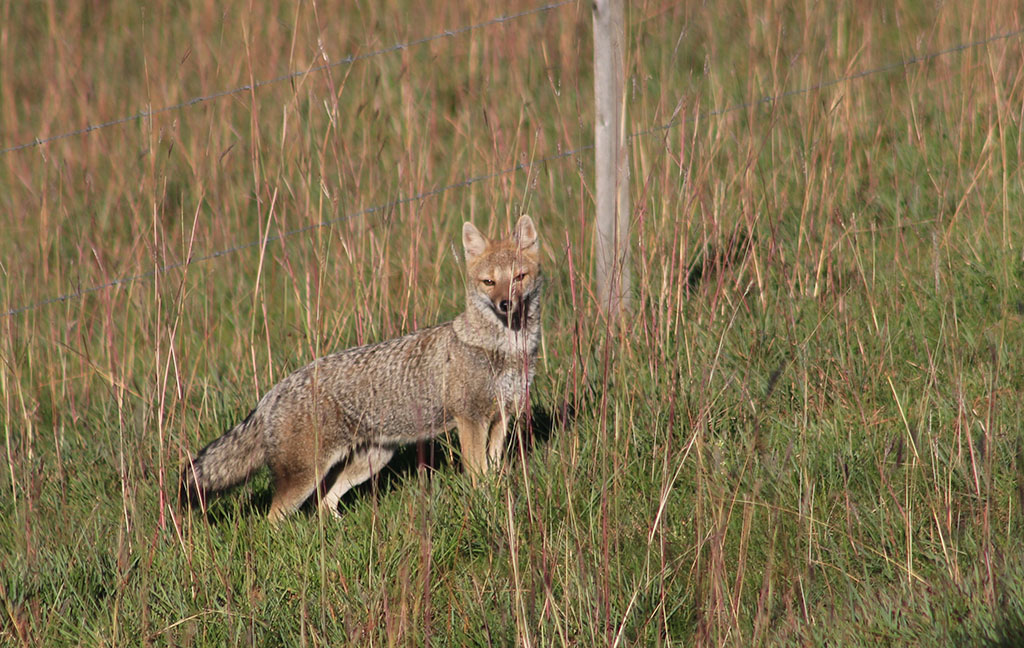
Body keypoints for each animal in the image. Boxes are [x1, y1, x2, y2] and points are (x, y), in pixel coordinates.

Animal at [180, 213, 540, 520]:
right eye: (489, 282)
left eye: (519, 277)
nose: (505, 304)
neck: (504, 348)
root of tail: (275, 390)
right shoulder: (471, 421)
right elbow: (478, 474)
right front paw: (482, 503)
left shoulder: (501, 417)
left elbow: (492, 468)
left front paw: (495, 496)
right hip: (307, 477)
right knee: (275, 518)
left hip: (371, 460)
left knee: (325, 503)